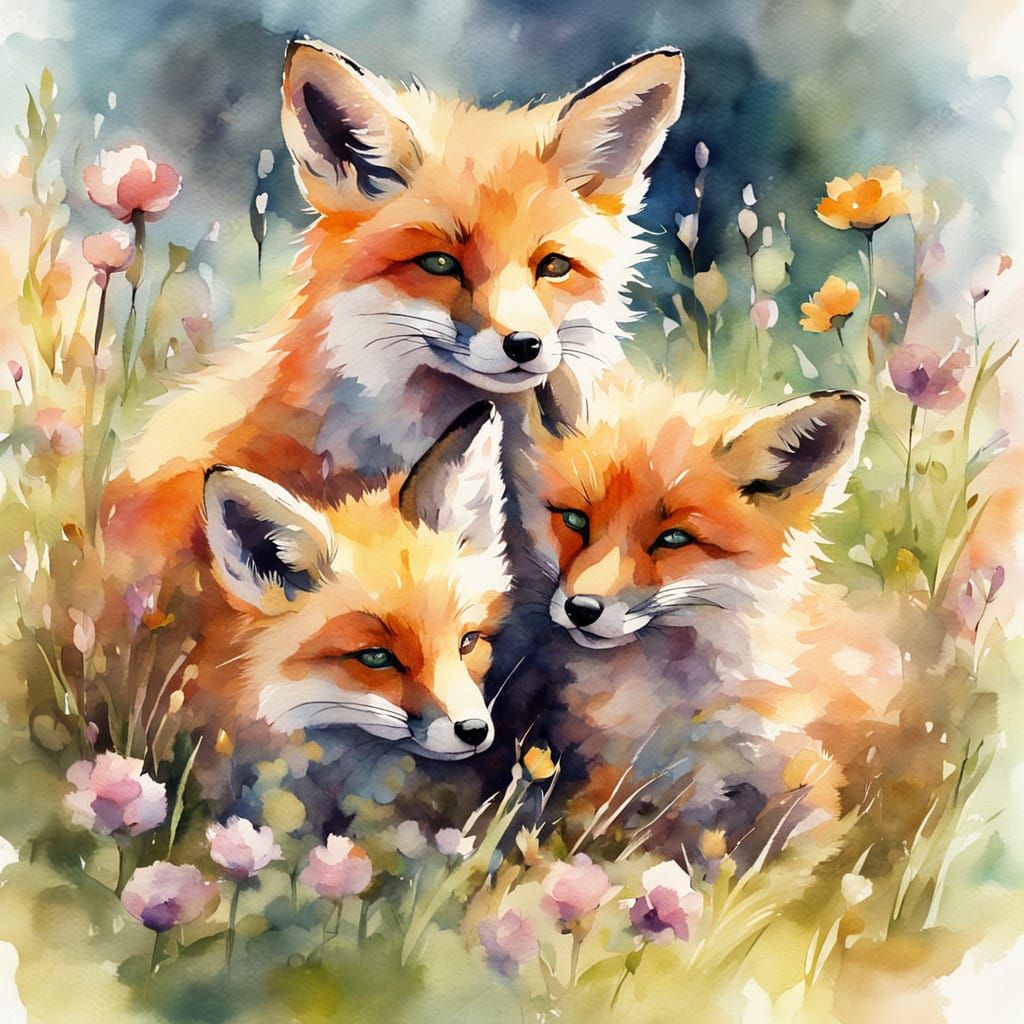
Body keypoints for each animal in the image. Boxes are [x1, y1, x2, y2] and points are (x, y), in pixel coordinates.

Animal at [515, 373, 904, 855]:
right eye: (574, 520)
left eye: (674, 538)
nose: (580, 609)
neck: (673, 706)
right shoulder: (612, 784)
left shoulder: (807, 781)